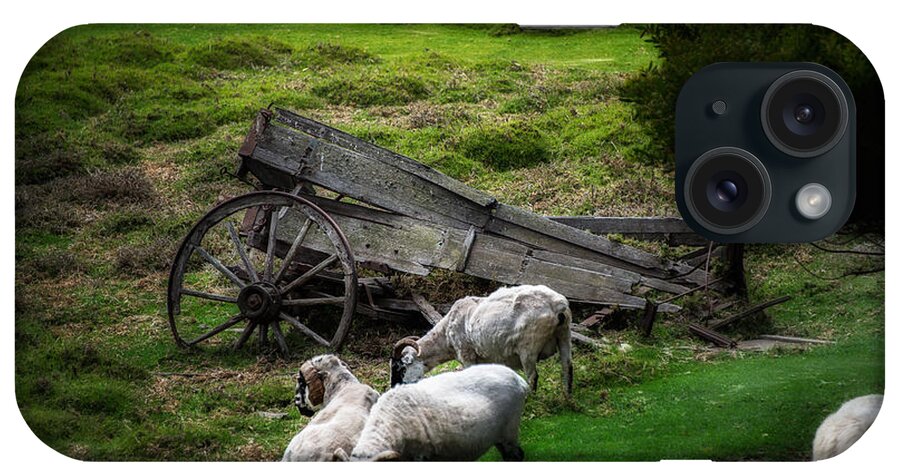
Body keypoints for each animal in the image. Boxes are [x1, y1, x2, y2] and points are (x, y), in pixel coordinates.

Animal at [390, 284, 572, 396]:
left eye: (400, 367)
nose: (393, 388)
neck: (445, 335)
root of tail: (557, 305)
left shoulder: (467, 356)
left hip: (528, 347)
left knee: (533, 376)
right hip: (564, 335)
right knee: (567, 367)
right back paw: (568, 399)